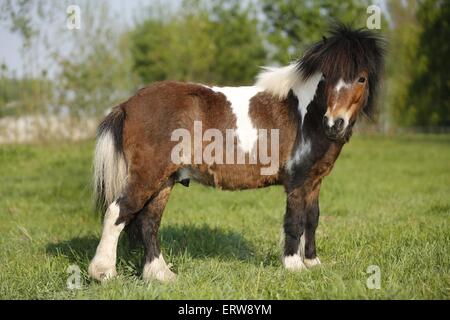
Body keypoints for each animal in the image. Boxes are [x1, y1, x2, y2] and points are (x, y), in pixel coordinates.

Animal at [89, 25, 384, 282]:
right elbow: (295, 220)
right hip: (147, 175)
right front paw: (293, 266)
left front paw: (313, 263)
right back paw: (103, 273)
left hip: (164, 181)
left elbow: (312, 219)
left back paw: (161, 275)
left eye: (361, 78)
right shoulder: (297, 182)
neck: (305, 114)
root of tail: (126, 105)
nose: (334, 124)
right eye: (328, 78)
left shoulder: (314, 181)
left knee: (148, 222)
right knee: (117, 212)